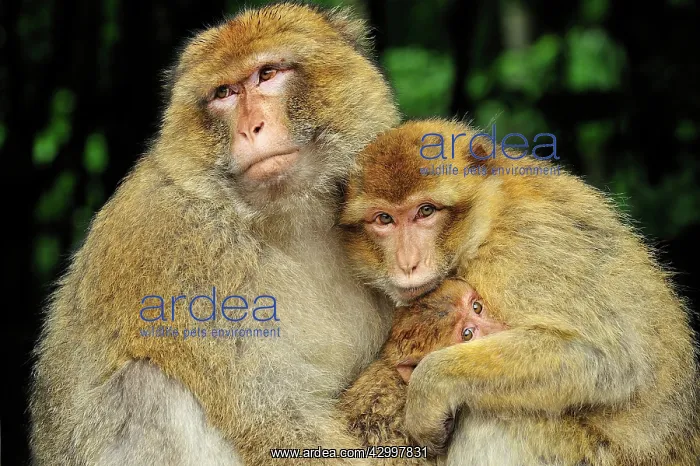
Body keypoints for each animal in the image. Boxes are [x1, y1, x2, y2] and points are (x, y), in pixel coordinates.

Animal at [29, 4, 401, 465]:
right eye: (224, 93)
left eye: (266, 74)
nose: (251, 128)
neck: (291, 218)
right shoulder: (184, 251)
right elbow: (275, 418)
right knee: (145, 389)